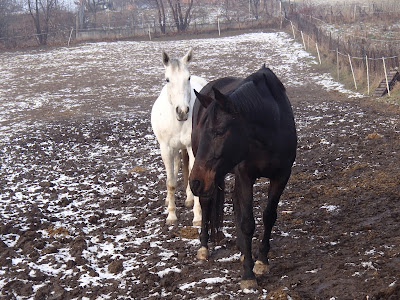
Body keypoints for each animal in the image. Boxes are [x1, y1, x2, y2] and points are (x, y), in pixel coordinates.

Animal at [150, 48, 206, 225]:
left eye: (187, 77)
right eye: (167, 79)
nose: (182, 111)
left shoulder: (192, 147)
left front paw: (198, 217)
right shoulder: (166, 148)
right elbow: (171, 183)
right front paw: (172, 215)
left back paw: (189, 198)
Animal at [188, 65, 296, 288]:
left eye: (220, 131)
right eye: (202, 130)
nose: (195, 182)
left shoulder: (281, 176)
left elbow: (268, 216)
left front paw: (261, 261)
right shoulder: (245, 176)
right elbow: (247, 222)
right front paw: (248, 275)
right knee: (206, 203)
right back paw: (204, 247)